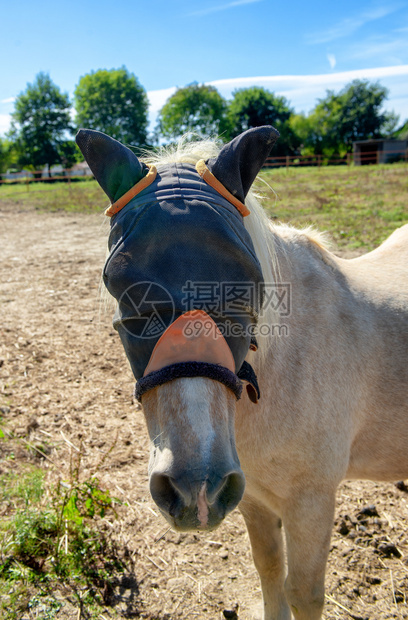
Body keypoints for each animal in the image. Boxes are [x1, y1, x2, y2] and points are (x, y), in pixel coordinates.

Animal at [76, 127, 408, 620]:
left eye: (245, 290)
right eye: (127, 295)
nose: (193, 490)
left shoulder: (312, 502)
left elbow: (304, 592)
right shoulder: (252, 497)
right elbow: (270, 570)